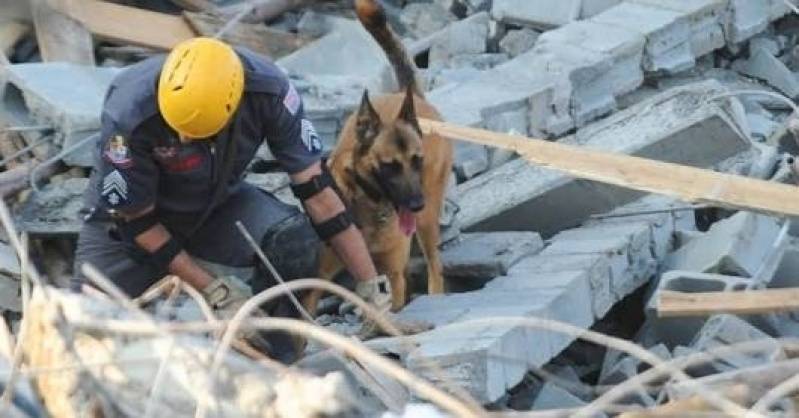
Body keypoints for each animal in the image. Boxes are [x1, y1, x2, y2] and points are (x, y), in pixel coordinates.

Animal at [304, 0, 454, 314]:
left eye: (417, 160)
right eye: (389, 166)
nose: (416, 203)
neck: (371, 205)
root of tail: (410, 97)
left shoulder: (393, 277)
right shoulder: (318, 279)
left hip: (427, 221)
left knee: (435, 266)